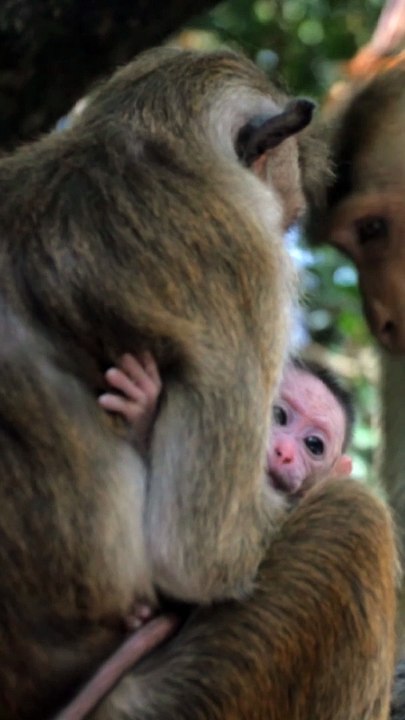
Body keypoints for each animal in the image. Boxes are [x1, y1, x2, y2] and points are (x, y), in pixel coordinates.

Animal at [0, 46, 397, 720]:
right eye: (280, 420)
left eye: (313, 443)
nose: (284, 453)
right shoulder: (247, 262)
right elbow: (201, 558)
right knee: (356, 519)